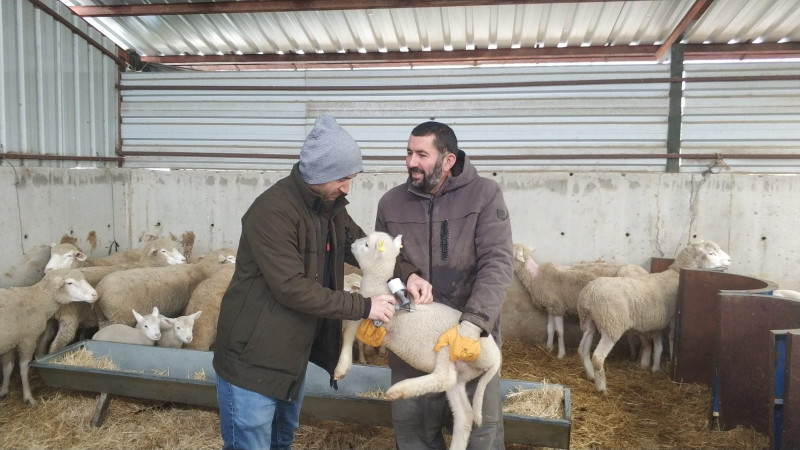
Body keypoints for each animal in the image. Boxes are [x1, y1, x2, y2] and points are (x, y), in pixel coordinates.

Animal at [0, 268, 97, 406]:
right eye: (69, 283)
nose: (95, 295)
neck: (39, 299)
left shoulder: (11, 341)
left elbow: (7, 367)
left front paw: (3, 390)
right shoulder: (28, 338)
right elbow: (24, 368)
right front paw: (28, 397)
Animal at [332, 232, 500, 450]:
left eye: (367, 244)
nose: (352, 243)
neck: (378, 283)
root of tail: (496, 358)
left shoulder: (370, 310)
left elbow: (348, 333)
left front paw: (341, 367)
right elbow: (351, 333)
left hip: (450, 347)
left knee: (443, 378)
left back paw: (399, 390)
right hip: (462, 373)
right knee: (464, 414)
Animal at [512, 244, 648, 356]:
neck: (536, 275)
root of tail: (645, 272)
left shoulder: (558, 307)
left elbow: (559, 332)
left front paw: (561, 354)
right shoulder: (550, 307)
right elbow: (550, 328)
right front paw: (549, 347)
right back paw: (633, 355)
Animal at [576, 241, 732, 392]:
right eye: (711, 253)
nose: (730, 260)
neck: (675, 274)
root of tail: (588, 295)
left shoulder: (658, 322)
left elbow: (658, 345)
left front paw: (655, 367)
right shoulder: (673, 318)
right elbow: (671, 339)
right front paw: (671, 361)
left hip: (588, 322)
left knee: (582, 349)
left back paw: (590, 376)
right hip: (611, 325)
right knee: (598, 357)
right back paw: (601, 387)